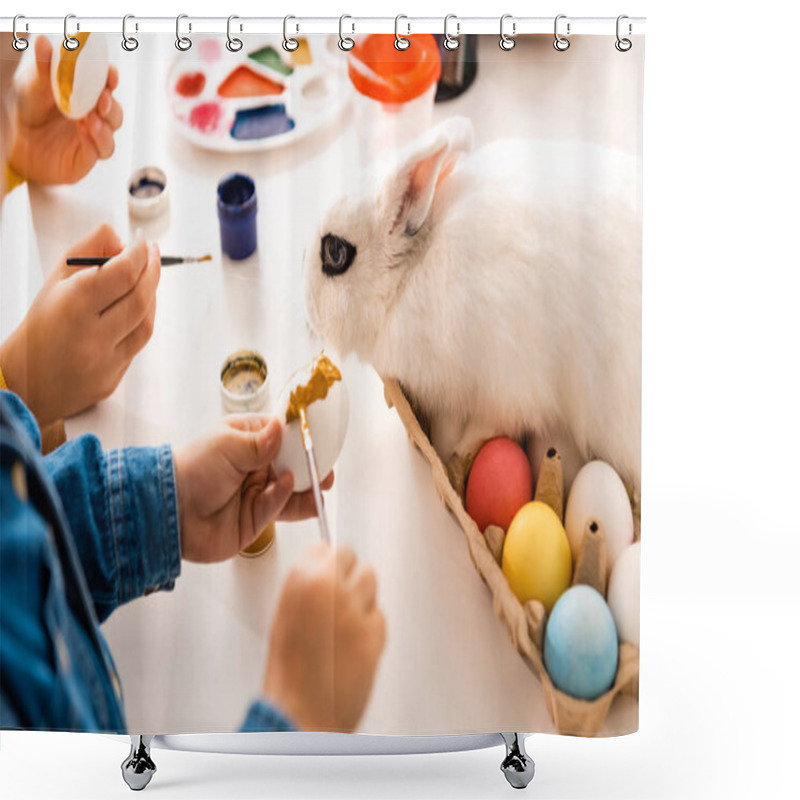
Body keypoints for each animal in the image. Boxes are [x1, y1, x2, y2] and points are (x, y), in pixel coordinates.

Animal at [304, 115, 640, 490]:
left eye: (335, 253)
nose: (308, 315)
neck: (412, 272)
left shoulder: (507, 389)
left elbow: (486, 429)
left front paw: (453, 465)